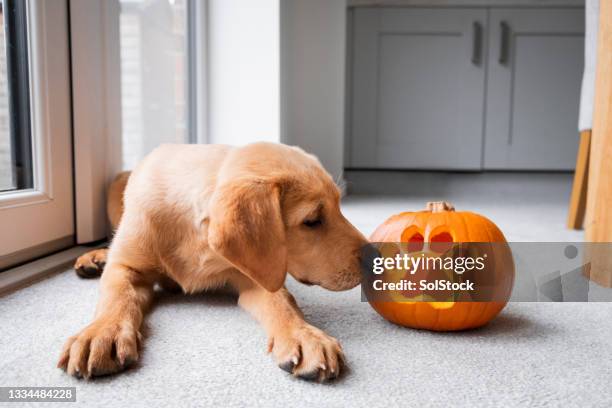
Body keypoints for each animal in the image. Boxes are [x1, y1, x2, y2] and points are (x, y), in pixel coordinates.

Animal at [58, 143, 368, 382]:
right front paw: (103, 332)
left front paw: (303, 335)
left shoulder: (258, 273)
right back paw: (95, 256)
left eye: (339, 207)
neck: (194, 237)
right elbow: (118, 296)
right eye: (312, 221)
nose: (373, 258)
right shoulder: (125, 267)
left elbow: (283, 302)